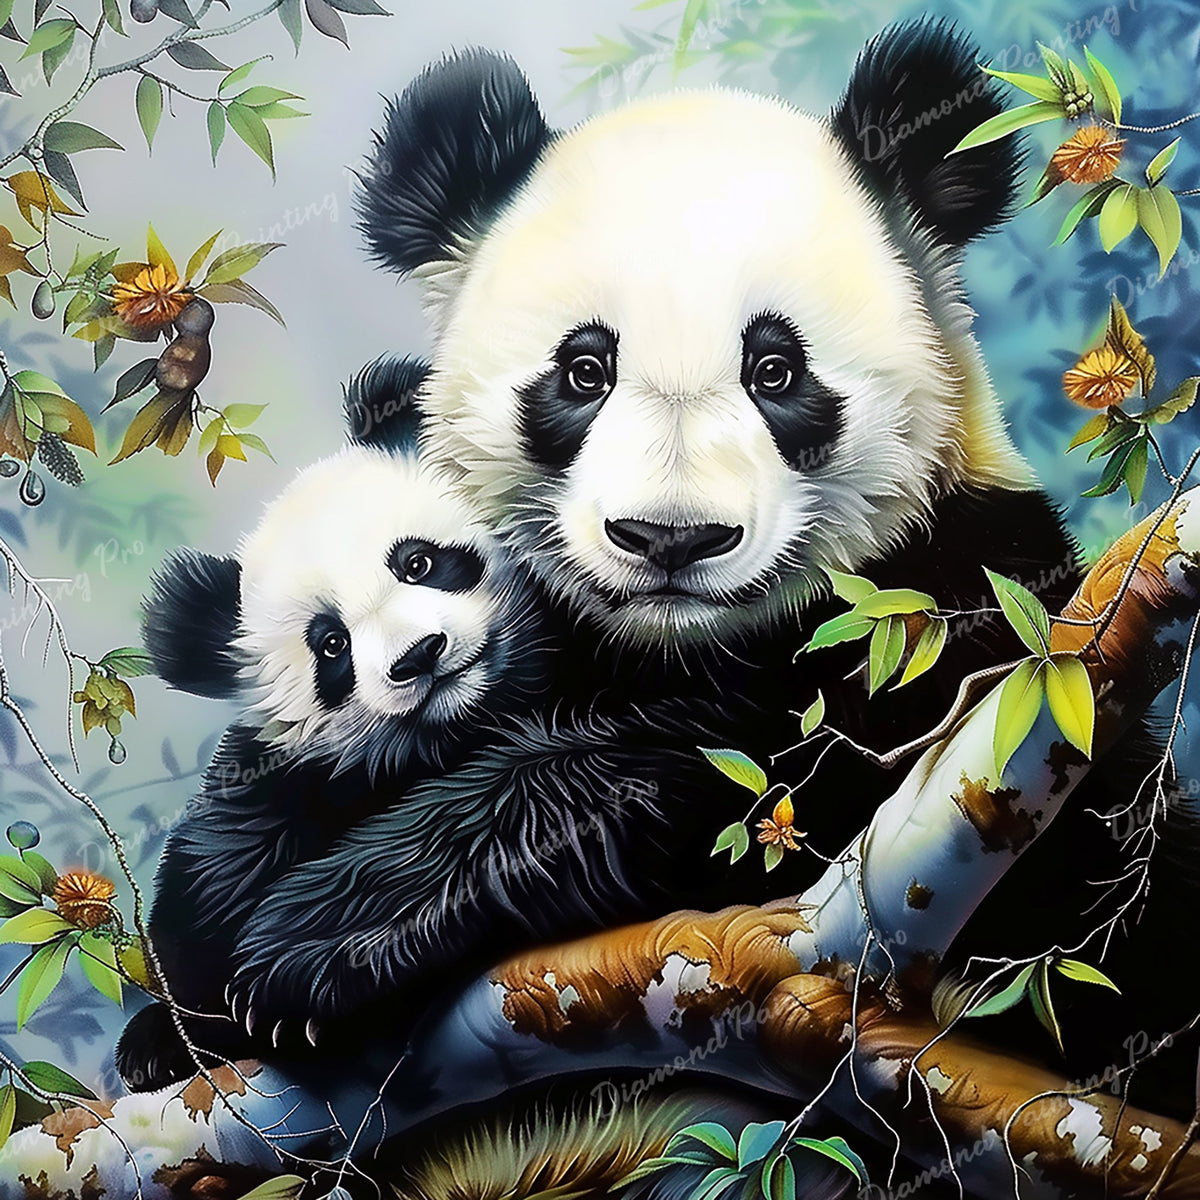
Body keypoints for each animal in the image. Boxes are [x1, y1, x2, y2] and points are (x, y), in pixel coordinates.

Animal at [115, 356, 548, 1091]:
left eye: (417, 562)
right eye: (331, 645)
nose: (419, 655)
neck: (456, 727)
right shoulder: (287, 777)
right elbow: (211, 878)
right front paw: (160, 1040)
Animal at [220, 19, 1198, 1123]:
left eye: (776, 370)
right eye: (583, 371)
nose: (671, 538)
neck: (676, 644)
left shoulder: (949, 612)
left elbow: (720, 765)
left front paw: (313, 947)